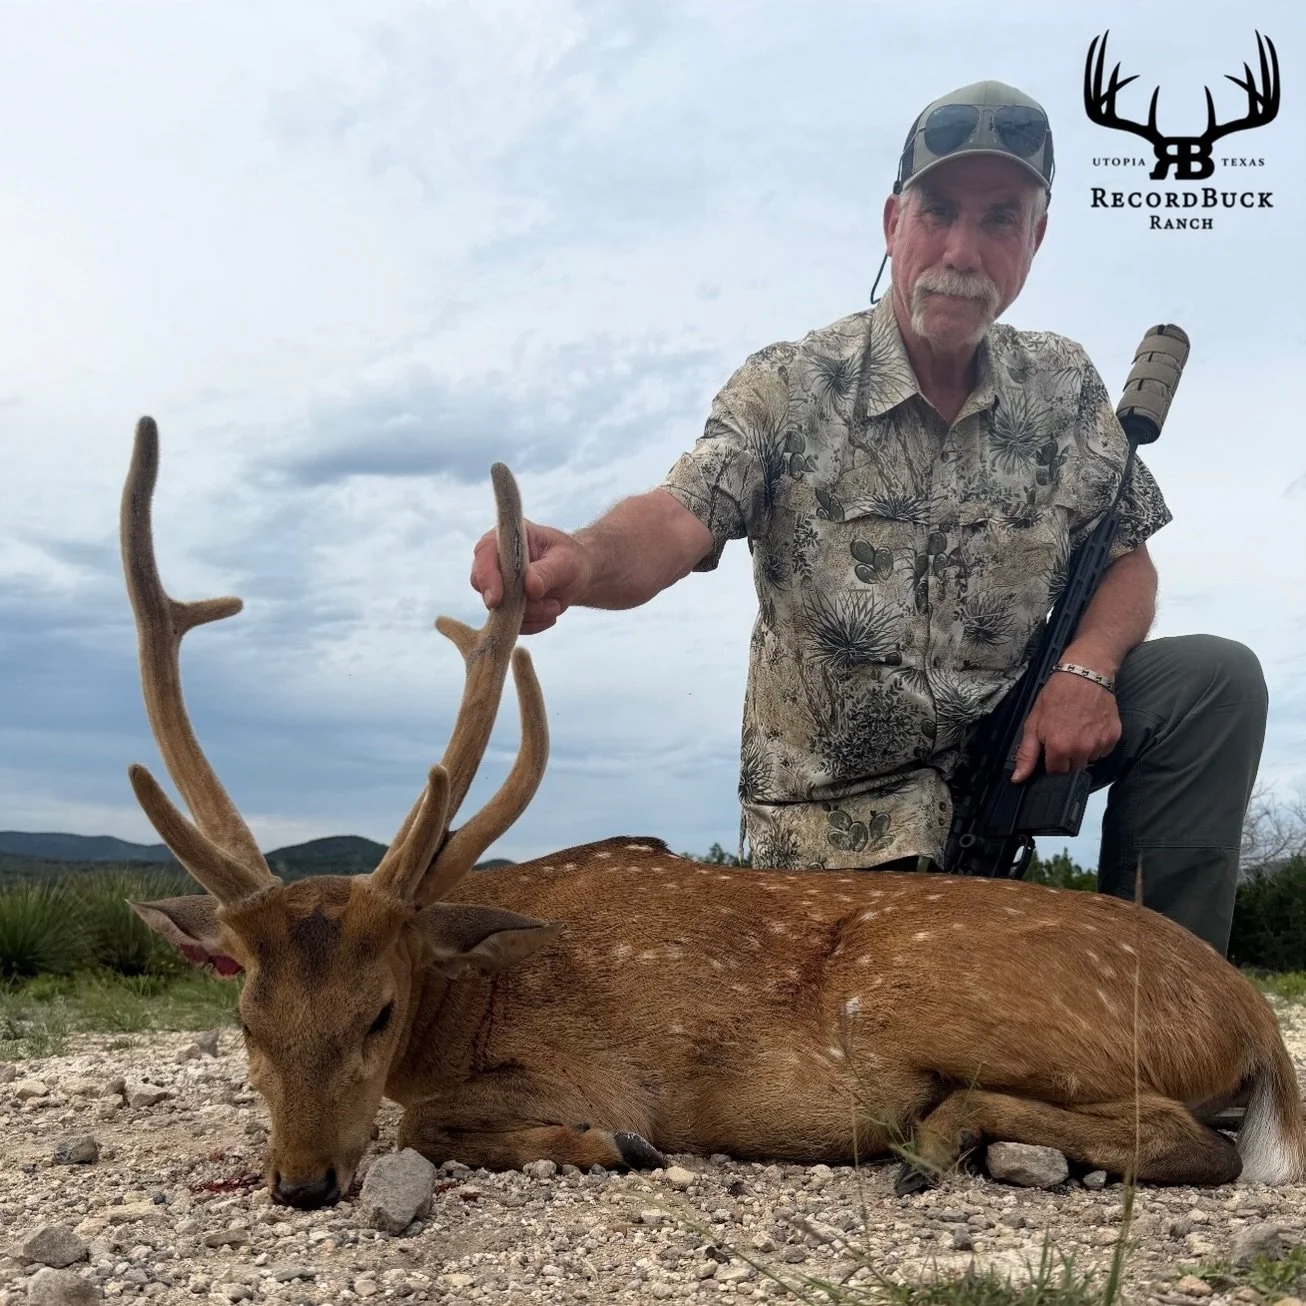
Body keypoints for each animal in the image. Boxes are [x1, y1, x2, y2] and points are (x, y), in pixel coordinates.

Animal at [120, 416, 1306, 1211]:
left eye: (377, 1012)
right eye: (246, 1018)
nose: (302, 1180)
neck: (464, 991)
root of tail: (1252, 1015)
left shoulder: (601, 1068)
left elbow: (434, 1118)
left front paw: (607, 1148)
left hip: (960, 1005)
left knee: (1184, 1138)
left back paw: (943, 1139)